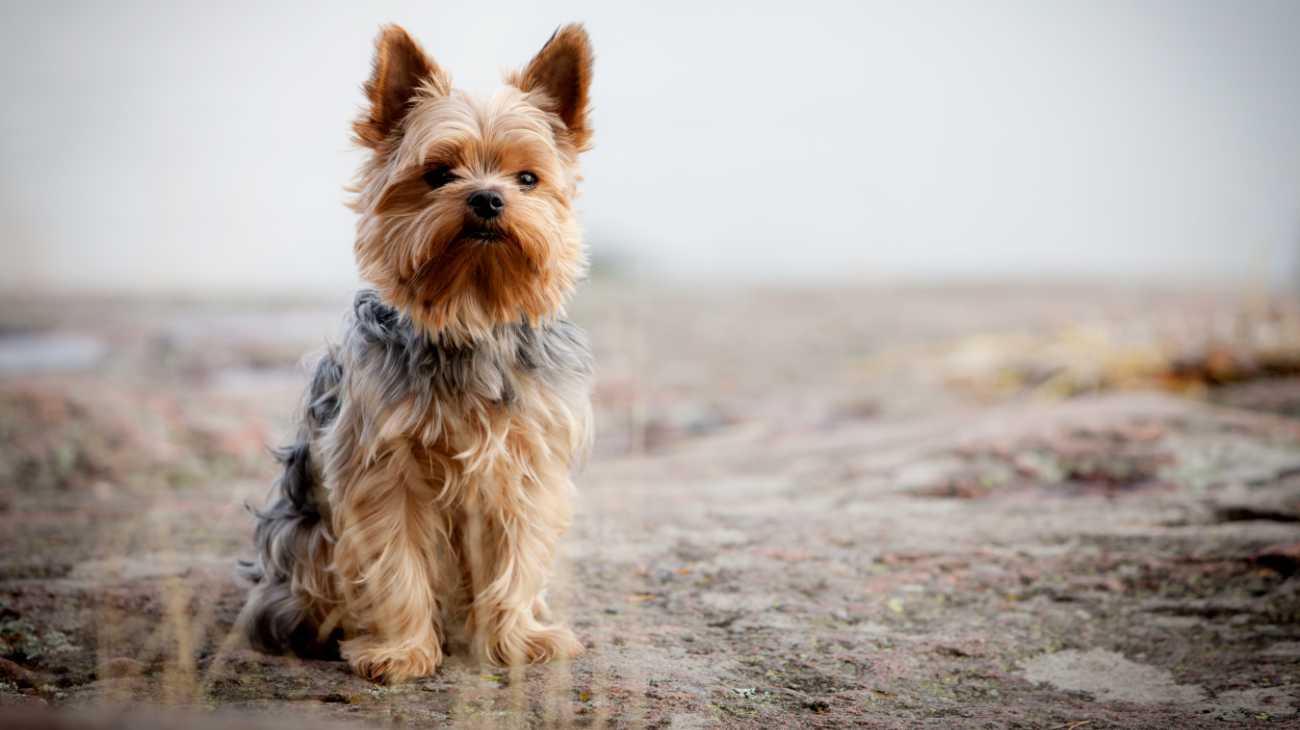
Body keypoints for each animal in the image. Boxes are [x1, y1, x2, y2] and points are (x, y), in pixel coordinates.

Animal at [237, 22, 595, 680]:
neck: (471, 314)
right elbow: (395, 560)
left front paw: (518, 639)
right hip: (303, 537)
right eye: (439, 174)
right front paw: (401, 651)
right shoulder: (383, 469)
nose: (487, 199)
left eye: (527, 179)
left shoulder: (523, 464)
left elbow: (518, 555)